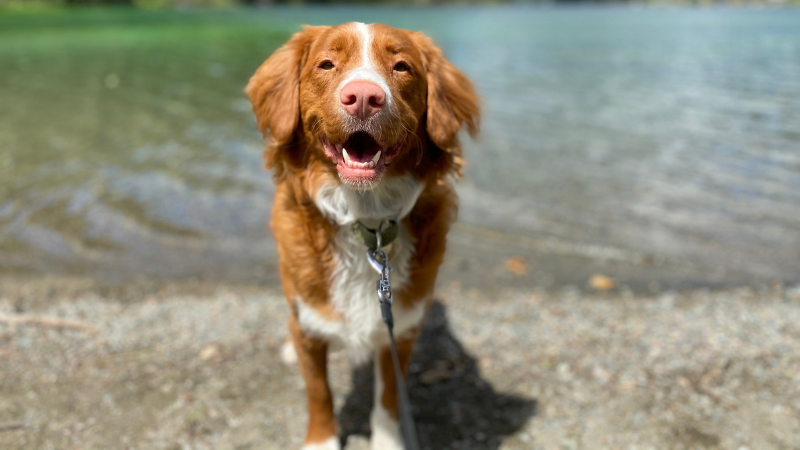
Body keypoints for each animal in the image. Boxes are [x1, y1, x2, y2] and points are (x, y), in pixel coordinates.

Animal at [247, 22, 478, 450]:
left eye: (402, 67)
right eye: (326, 64)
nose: (364, 99)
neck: (366, 220)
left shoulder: (398, 333)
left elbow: (388, 399)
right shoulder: (309, 326)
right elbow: (319, 392)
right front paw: (321, 442)